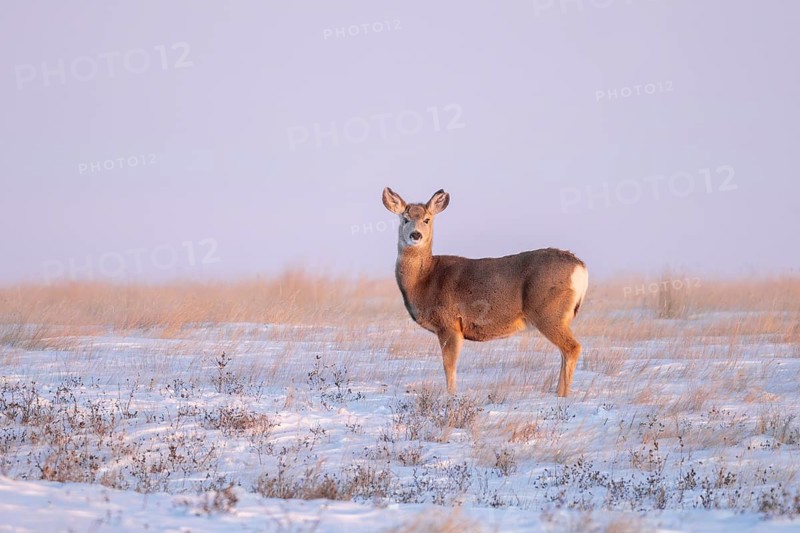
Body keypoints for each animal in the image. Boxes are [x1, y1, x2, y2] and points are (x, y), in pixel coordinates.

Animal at [382, 187, 589, 397]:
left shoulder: (449, 323)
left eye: (427, 219)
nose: (415, 235)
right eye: (405, 218)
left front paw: (451, 395)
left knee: (572, 348)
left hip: (548, 312)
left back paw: (563, 395)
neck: (425, 280)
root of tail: (580, 267)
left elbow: (449, 365)